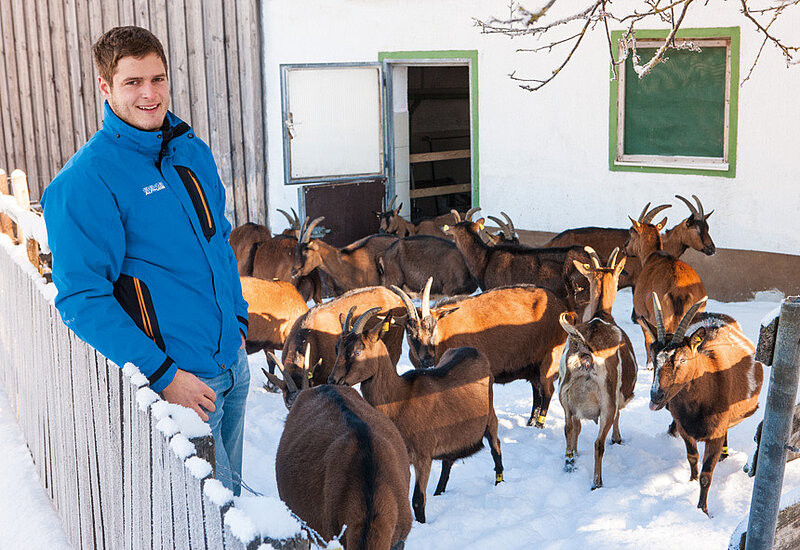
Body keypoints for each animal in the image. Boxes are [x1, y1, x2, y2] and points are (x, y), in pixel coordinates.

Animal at [329, 308, 504, 524]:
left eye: (357, 351)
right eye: (337, 349)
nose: (333, 380)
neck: (401, 399)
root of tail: (474, 351)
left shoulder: (423, 455)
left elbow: (418, 500)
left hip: (490, 418)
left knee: (496, 447)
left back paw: (499, 483)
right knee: (448, 461)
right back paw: (439, 492)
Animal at [392, 278, 567, 428]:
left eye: (432, 327)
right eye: (410, 332)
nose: (428, 360)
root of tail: (560, 305)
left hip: (550, 358)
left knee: (547, 391)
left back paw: (539, 425)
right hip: (533, 364)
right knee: (537, 391)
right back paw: (530, 423)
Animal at [557, 247, 637, 489]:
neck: (601, 314)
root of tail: (585, 351)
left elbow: (576, 428)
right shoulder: (617, 395)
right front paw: (617, 439)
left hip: (564, 394)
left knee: (569, 429)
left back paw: (570, 464)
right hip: (606, 400)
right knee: (598, 443)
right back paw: (597, 482)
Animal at [626, 203, 707, 366]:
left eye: (631, 231)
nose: (625, 248)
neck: (654, 255)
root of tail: (679, 291)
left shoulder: (644, 316)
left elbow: (648, 340)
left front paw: (649, 364)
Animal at [647, 295, 763, 516]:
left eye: (682, 360)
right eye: (653, 360)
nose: (656, 396)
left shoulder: (715, 434)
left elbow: (706, 475)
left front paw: (703, 510)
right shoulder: (684, 427)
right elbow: (692, 457)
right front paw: (690, 482)